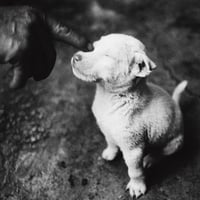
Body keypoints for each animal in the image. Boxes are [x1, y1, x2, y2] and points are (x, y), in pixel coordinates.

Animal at [70, 33, 188, 198]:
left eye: (107, 56)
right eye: (93, 47)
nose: (75, 56)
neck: (111, 98)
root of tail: (177, 106)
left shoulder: (134, 150)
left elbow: (135, 171)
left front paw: (137, 186)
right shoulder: (106, 129)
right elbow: (110, 142)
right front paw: (110, 153)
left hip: (175, 143)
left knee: (161, 153)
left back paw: (150, 159)